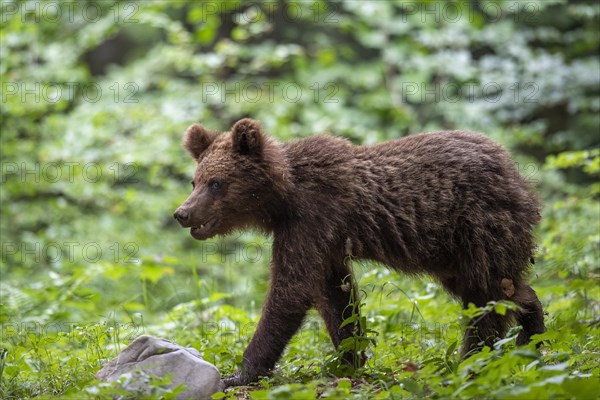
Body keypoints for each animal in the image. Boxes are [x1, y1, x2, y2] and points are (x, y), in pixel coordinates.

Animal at [172, 117, 544, 386]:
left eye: (216, 183)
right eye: (195, 180)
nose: (182, 213)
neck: (284, 198)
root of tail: (513, 167)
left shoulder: (314, 217)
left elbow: (290, 290)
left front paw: (240, 372)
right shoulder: (327, 241)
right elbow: (336, 297)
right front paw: (350, 358)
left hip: (478, 225)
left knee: (486, 297)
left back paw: (473, 360)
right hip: (451, 252)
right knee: (506, 287)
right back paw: (532, 333)